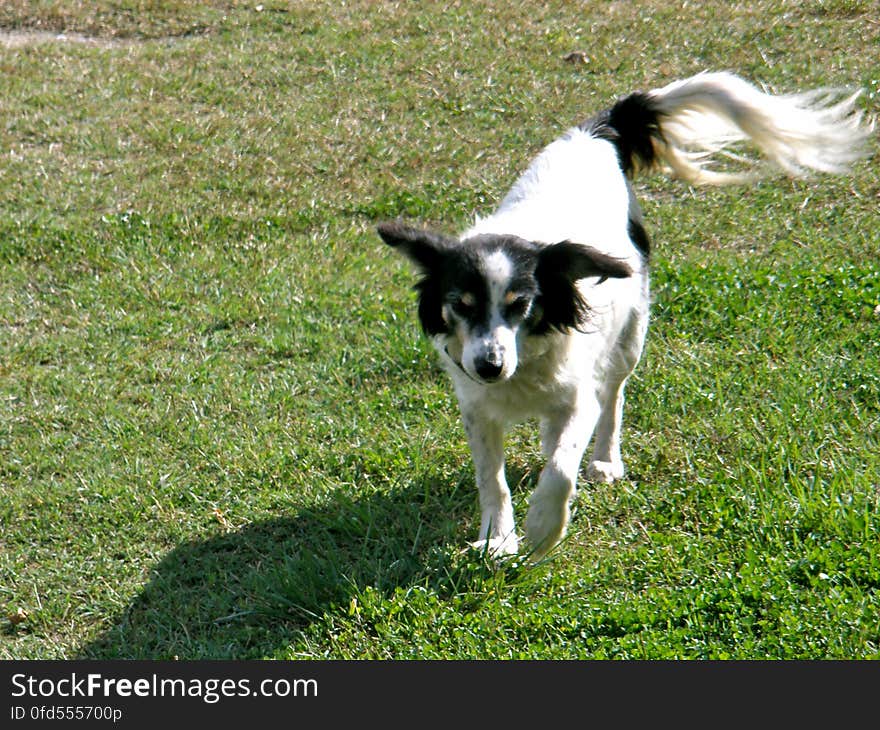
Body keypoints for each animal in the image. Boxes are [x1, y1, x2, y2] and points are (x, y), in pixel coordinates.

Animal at [380, 71, 872, 556]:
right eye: (461, 305)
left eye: (520, 305)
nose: (489, 366)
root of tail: (594, 133)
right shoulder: (477, 406)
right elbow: (492, 479)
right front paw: (498, 539)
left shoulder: (577, 394)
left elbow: (562, 466)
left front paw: (543, 528)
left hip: (630, 336)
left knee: (612, 398)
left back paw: (603, 460)